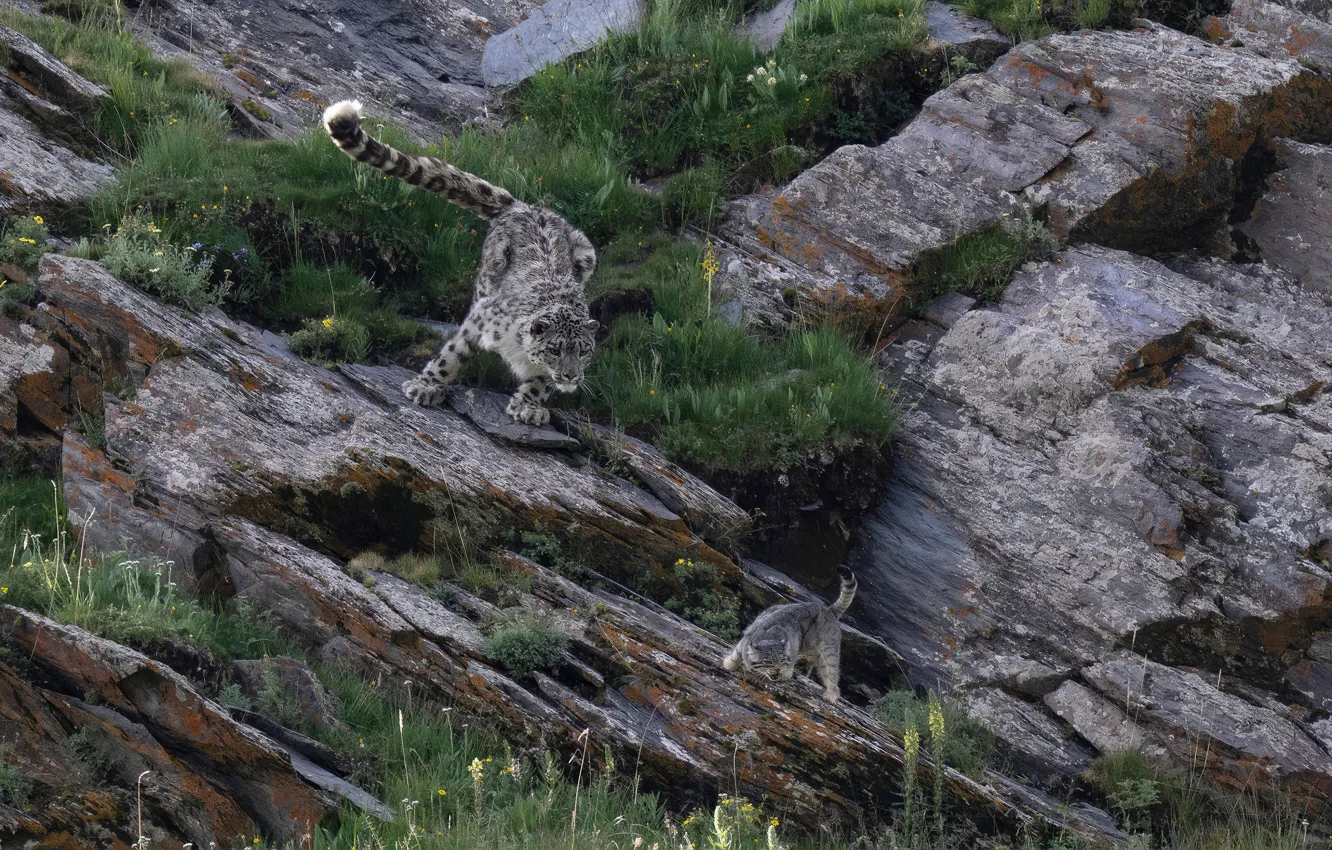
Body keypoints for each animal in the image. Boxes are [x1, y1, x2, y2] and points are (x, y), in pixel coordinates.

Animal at [323, 100, 598, 425]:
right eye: (555, 350)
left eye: (583, 350)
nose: (571, 376)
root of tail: (523, 206)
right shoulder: (480, 322)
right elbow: (451, 356)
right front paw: (427, 387)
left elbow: (541, 383)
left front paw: (529, 406)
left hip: (588, 253)